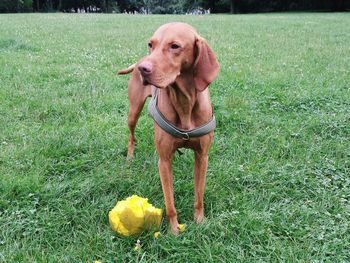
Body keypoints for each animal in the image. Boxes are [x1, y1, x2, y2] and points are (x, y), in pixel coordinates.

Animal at [117, 22, 219, 235]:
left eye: (175, 46)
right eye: (151, 44)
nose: (143, 69)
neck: (184, 102)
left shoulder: (202, 156)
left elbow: (199, 195)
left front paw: (200, 221)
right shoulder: (164, 161)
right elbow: (169, 201)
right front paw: (174, 231)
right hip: (133, 112)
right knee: (131, 135)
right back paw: (130, 156)